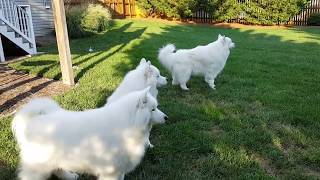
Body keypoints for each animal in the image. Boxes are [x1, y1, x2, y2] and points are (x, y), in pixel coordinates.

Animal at [11, 87, 168, 180]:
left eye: (156, 107)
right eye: (153, 109)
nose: (166, 117)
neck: (127, 124)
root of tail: (34, 119)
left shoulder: (120, 167)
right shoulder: (110, 170)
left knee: (58, 169)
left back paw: (70, 176)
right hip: (38, 164)